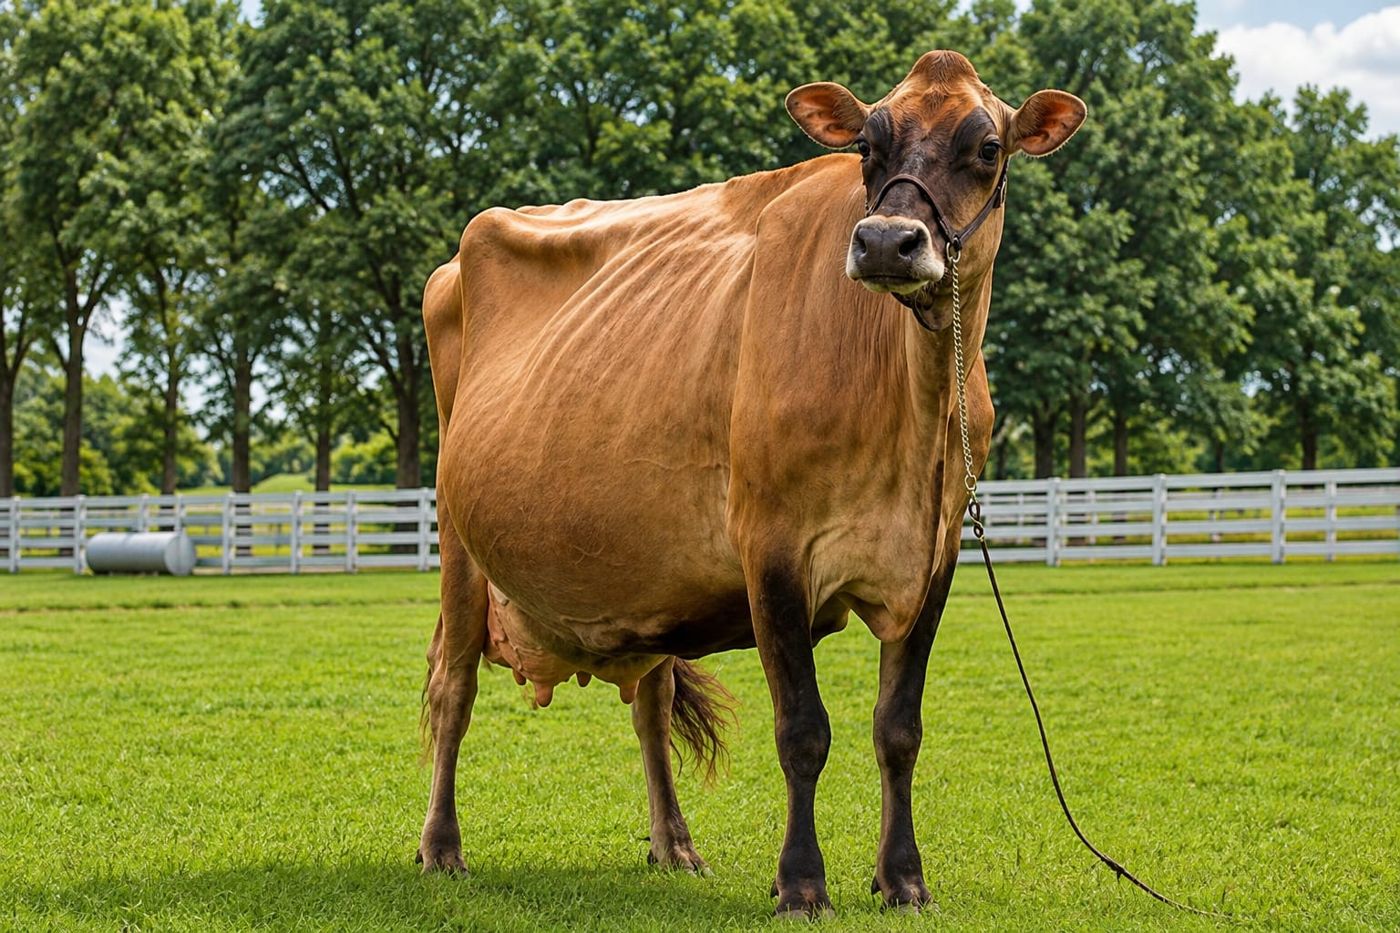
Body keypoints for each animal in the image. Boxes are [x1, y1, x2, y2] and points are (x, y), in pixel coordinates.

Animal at [417, 49, 1085, 917]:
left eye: (988, 147)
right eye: (867, 145)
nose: (886, 242)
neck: (912, 406)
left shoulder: (934, 557)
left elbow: (898, 730)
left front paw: (902, 877)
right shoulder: (771, 549)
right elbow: (803, 729)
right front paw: (801, 882)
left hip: (642, 573)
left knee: (651, 705)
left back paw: (675, 845)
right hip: (457, 538)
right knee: (453, 689)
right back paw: (442, 846)